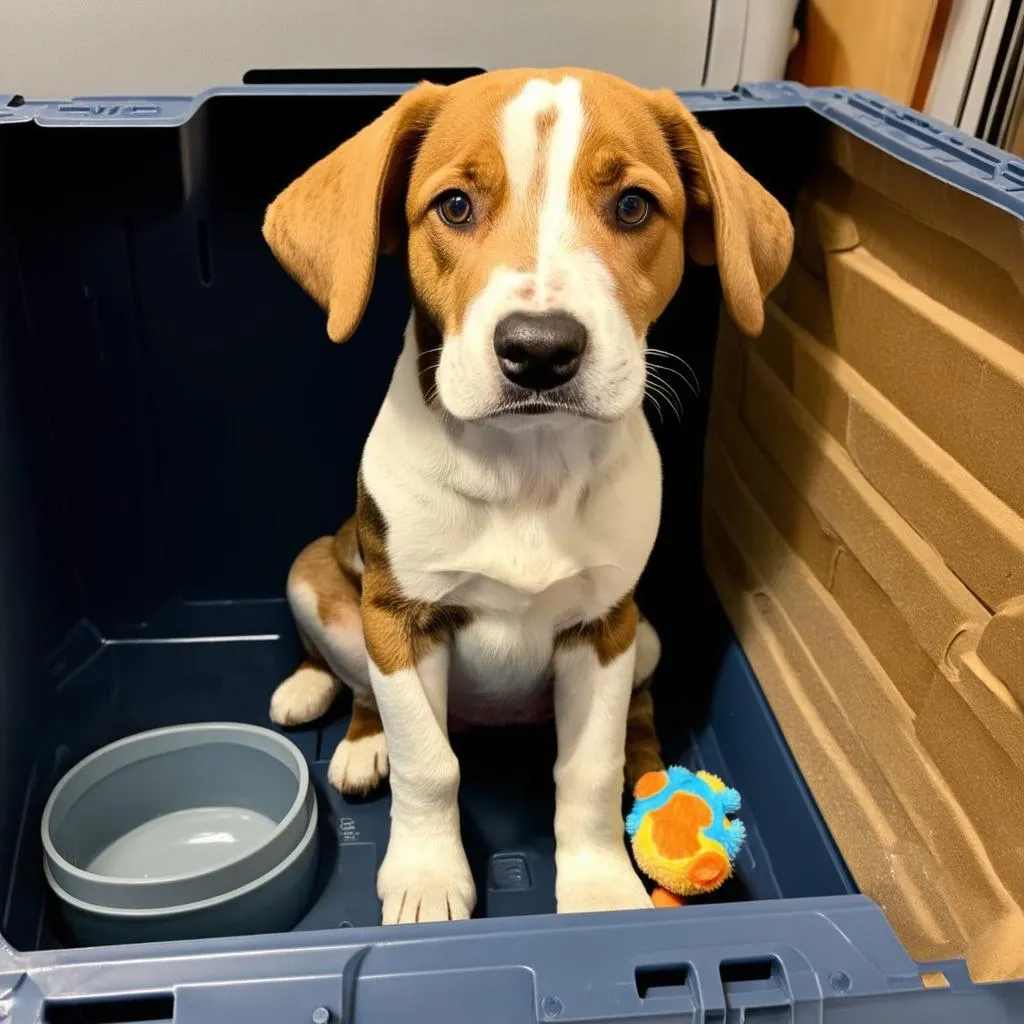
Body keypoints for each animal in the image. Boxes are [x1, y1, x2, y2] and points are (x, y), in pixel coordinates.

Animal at [264, 68, 790, 925]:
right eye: (454, 206)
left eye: (633, 206)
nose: (540, 352)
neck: (526, 466)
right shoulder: (401, 620)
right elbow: (428, 762)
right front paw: (425, 876)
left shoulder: (604, 627)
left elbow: (585, 772)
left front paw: (602, 886)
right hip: (316, 573)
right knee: (360, 683)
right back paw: (342, 721)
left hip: (646, 638)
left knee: (638, 716)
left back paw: (651, 778)